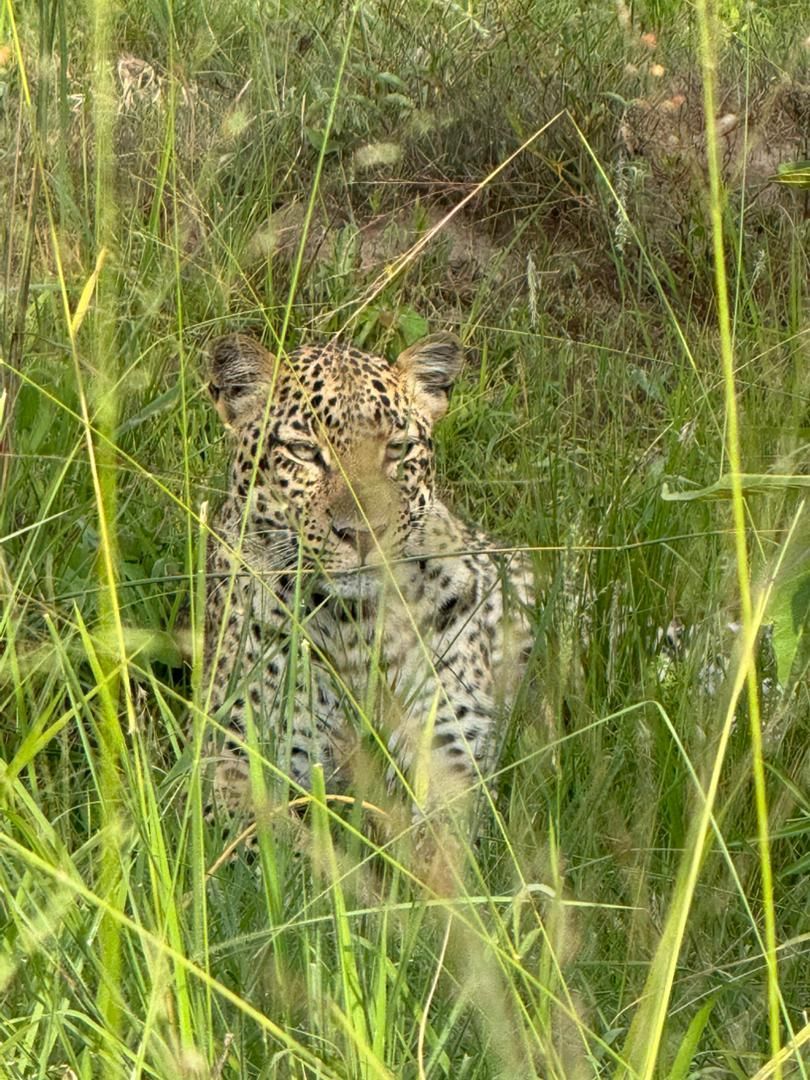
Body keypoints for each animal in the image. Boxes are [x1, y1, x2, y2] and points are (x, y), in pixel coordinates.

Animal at [202, 330, 534, 824]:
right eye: (304, 451)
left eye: (397, 450)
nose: (362, 533)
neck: (353, 626)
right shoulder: (230, 761)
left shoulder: (451, 754)